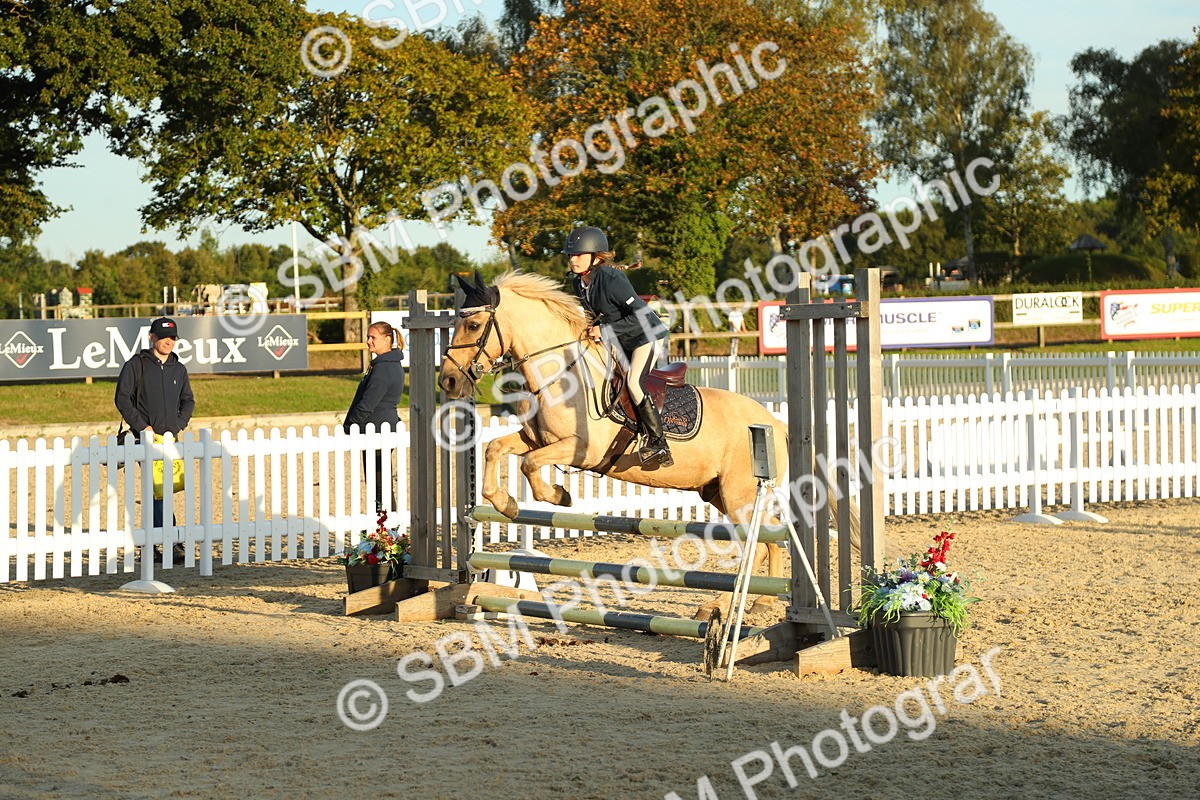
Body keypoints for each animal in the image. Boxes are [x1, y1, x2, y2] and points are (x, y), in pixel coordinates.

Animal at [438, 271, 854, 620]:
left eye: (473, 324)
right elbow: (495, 448)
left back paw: (743, 603)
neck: (559, 371)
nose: (448, 382)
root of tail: (775, 422)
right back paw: (739, 603)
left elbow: (528, 465)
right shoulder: (534, 439)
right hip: (720, 493)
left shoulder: (581, 450)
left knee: (766, 542)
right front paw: (505, 503)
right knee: (764, 542)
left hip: (740, 496)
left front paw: (558, 495)